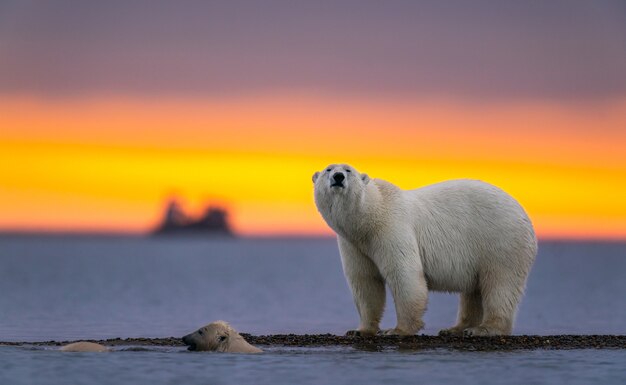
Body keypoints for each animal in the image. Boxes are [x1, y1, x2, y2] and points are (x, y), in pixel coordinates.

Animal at [312, 164, 536, 334]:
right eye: (328, 169)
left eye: (348, 169)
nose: (338, 177)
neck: (369, 218)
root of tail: (523, 213)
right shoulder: (354, 245)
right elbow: (365, 282)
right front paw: (361, 330)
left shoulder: (392, 228)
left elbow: (404, 275)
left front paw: (398, 330)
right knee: (474, 290)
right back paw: (455, 328)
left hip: (501, 240)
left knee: (500, 284)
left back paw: (484, 329)